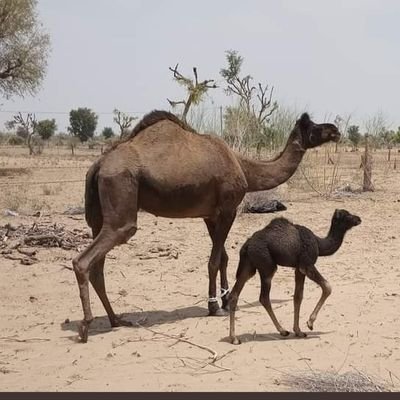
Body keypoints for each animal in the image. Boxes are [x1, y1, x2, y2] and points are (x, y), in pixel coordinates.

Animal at [72, 111, 340, 342]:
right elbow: (214, 260)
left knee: (97, 267)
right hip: (120, 201)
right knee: (85, 260)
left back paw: (116, 319)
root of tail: (98, 165)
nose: (336, 130)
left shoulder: (210, 215)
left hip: (97, 217)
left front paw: (225, 299)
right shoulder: (228, 209)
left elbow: (223, 257)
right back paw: (86, 325)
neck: (243, 167)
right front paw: (214, 306)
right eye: (315, 127)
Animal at [228, 209, 362, 344]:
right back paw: (282, 331)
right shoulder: (306, 264)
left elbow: (298, 297)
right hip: (267, 266)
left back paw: (234, 338)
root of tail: (246, 245)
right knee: (264, 297)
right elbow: (327, 287)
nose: (359, 219)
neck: (318, 244)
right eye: (347, 215)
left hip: (248, 267)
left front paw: (298, 331)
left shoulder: (298, 269)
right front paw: (310, 323)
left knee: (235, 294)